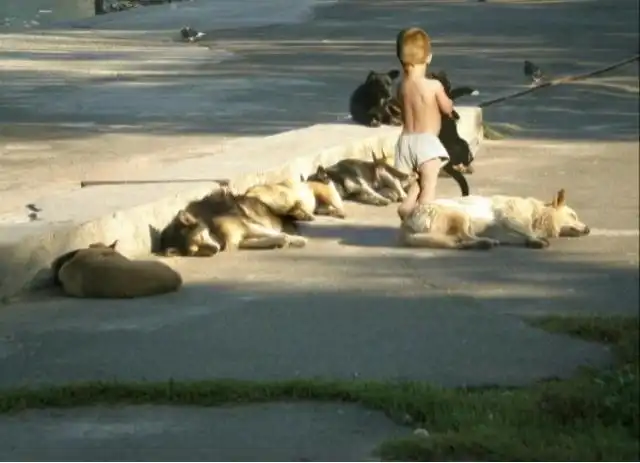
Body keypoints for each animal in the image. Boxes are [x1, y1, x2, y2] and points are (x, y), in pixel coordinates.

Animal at [159, 187, 311, 256]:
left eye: (201, 237)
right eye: (196, 251)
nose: (215, 250)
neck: (213, 228)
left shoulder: (248, 226)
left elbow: (280, 235)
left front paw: (298, 240)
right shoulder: (242, 239)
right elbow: (270, 239)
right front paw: (282, 241)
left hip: (272, 201)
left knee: (296, 207)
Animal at [400, 189, 590, 250]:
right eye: (573, 216)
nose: (588, 229)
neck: (537, 214)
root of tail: (405, 223)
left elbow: (524, 235)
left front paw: (533, 241)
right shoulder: (510, 218)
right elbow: (527, 231)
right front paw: (536, 240)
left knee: (459, 242)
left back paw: (481, 243)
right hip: (461, 215)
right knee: (464, 237)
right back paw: (485, 242)